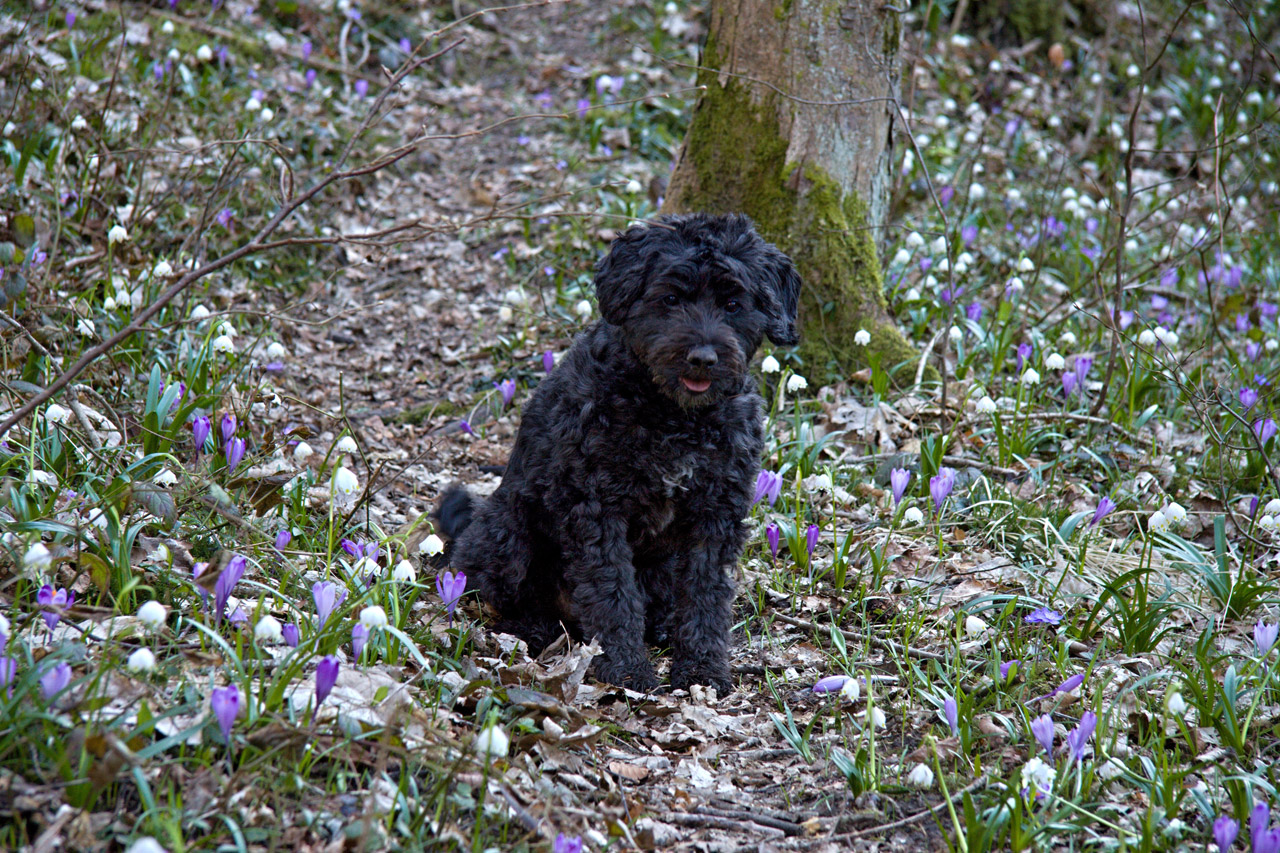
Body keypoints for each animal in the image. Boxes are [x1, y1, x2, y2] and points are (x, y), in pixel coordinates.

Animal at [440, 212, 798, 691]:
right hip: (510, 532)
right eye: (670, 298)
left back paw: (662, 626)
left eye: (733, 304)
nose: (703, 357)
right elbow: (611, 590)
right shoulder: (595, 508)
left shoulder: (716, 511)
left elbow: (706, 593)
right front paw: (626, 667)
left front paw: (702, 668)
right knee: (499, 596)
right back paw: (537, 629)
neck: (675, 416)